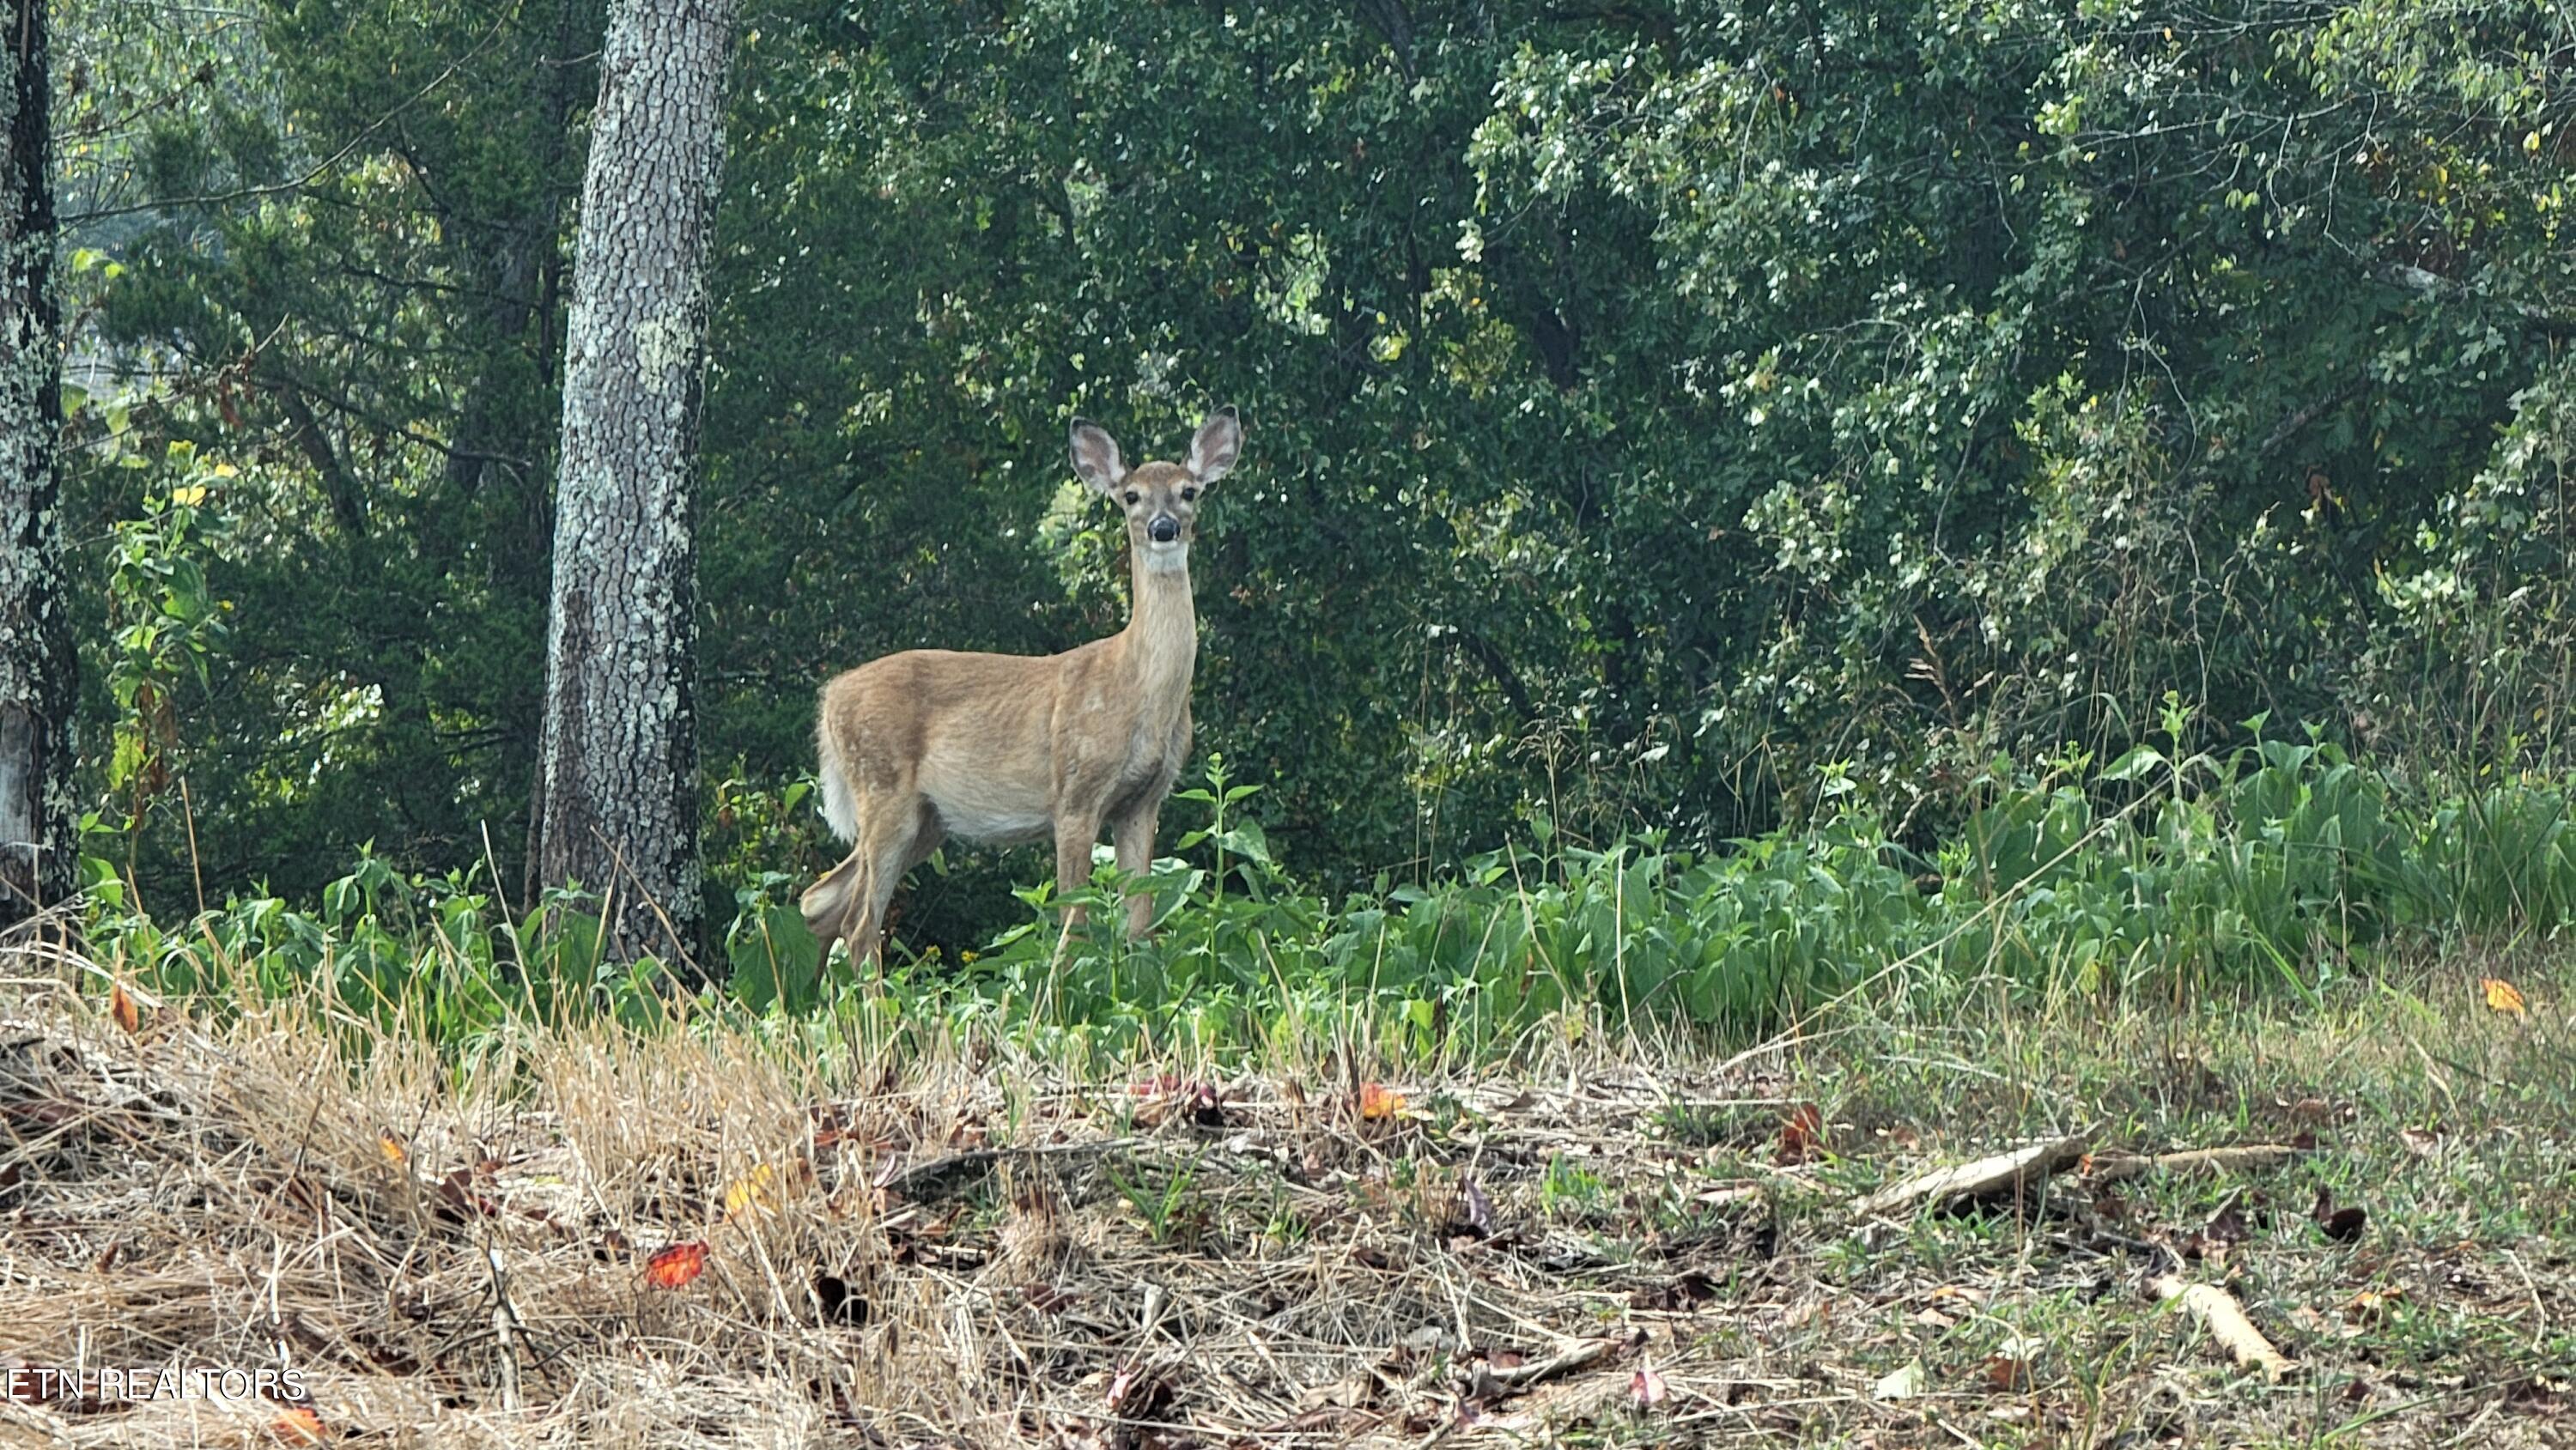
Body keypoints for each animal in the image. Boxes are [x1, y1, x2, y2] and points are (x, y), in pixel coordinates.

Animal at [799, 407, 1244, 969]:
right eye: (1131, 496)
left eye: (1189, 491)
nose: (1163, 528)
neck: (1137, 689)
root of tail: (830, 697)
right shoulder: (1075, 792)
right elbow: (1075, 922)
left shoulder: (1144, 801)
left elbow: (1140, 923)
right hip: (882, 787)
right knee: (858, 924)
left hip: (927, 820)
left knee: (821, 901)